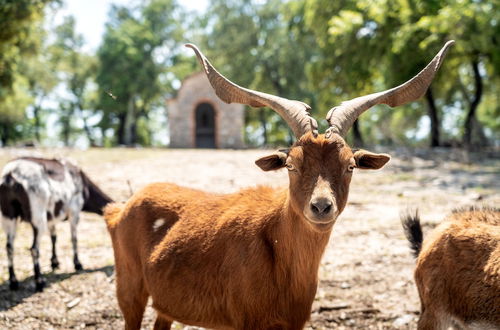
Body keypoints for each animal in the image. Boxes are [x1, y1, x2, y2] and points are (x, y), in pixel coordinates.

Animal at [0, 157, 112, 292]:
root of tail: (10, 175)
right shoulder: (74, 211)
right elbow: (74, 238)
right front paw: (77, 264)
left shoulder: (51, 217)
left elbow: (54, 237)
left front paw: (55, 263)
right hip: (38, 214)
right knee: (34, 248)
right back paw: (39, 282)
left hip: (8, 215)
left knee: (9, 247)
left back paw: (13, 282)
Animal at [102, 42, 454, 330]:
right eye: (291, 165)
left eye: (350, 166)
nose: (321, 206)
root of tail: (119, 209)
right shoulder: (247, 320)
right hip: (129, 287)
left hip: (164, 303)